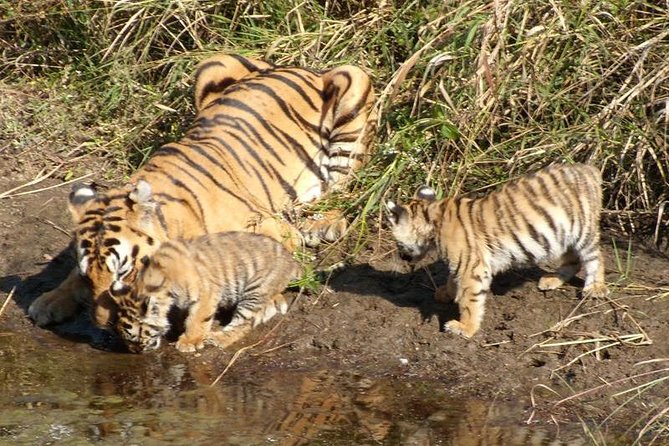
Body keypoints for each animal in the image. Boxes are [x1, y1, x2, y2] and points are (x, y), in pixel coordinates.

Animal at [28, 53, 376, 329]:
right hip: (213, 64)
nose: (102, 325)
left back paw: (323, 222)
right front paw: (48, 302)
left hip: (353, 81)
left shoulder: (271, 229)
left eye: (123, 278)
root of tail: (298, 66)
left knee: (343, 188)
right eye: (89, 277)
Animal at [116, 231, 300, 353]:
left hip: (255, 290)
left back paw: (218, 338)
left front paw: (189, 341)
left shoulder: (206, 294)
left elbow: (197, 320)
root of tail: (291, 260)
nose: (135, 351)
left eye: (137, 336)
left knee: (242, 324)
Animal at [386, 163, 610, 338]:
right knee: (573, 260)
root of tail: (588, 168)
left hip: (582, 231)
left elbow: (470, 301)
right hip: (561, 235)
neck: (433, 219)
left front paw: (465, 328)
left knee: (595, 257)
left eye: (397, 242)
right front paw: (445, 293)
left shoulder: (471, 267)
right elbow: (452, 279)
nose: (402, 257)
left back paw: (595, 289)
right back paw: (551, 280)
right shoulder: (463, 262)